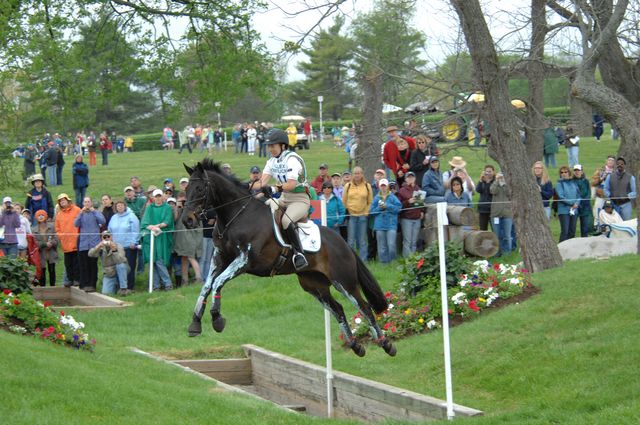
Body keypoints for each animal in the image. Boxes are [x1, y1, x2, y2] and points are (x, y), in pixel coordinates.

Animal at [180, 157, 398, 356]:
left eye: (200, 189)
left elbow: (217, 283)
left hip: (343, 281)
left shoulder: (244, 260)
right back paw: (356, 346)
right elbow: (207, 286)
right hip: (314, 284)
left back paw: (386, 344)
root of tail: (343, 243)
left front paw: (217, 319)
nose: (186, 220)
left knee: (365, 307)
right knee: (337, 309)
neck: (236, 216)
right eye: (186, 188)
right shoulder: (220, 258)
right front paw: (195, 324)